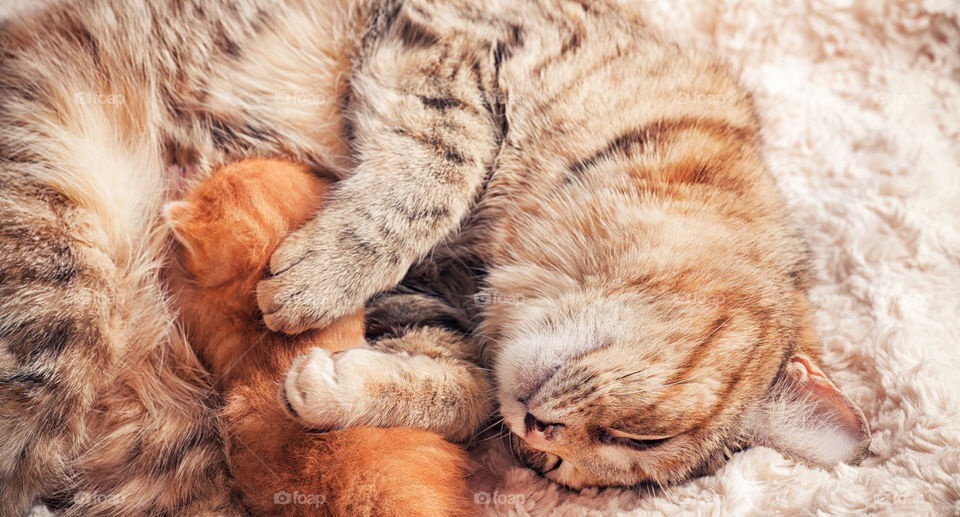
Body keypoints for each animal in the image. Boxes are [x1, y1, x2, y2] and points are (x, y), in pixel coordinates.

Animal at [0, 0, 872, 512]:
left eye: (556, 468)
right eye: (642, 440)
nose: (542, 435)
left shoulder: (430, 311)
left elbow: (457, 391)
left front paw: (340, 384)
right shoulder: (452, 33)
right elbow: (445, 158)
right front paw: (324, 271)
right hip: (62, 283)